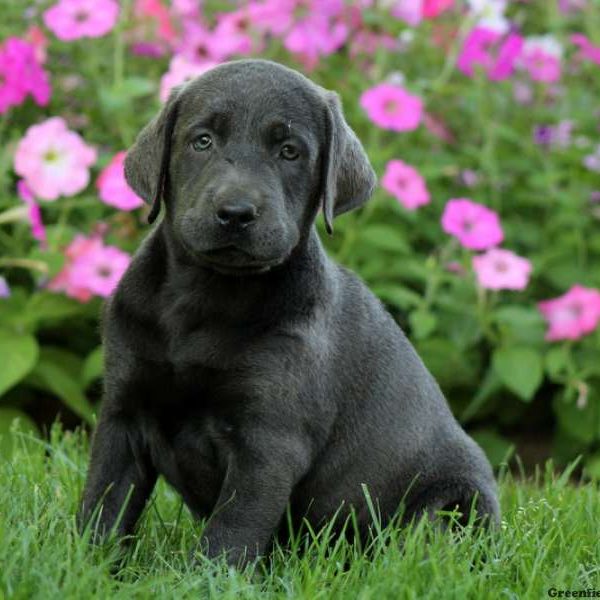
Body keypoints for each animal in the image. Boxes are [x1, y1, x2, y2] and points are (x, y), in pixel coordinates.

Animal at [81, 58, 502, 568]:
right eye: (202, 141)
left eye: (289, 151)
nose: (236, 212)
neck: (206, 295)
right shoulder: (123, 413)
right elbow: (104, 504)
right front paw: (87, 565)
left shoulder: (269, 443)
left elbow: (232, 530)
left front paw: (207, 577)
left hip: (452, 502)